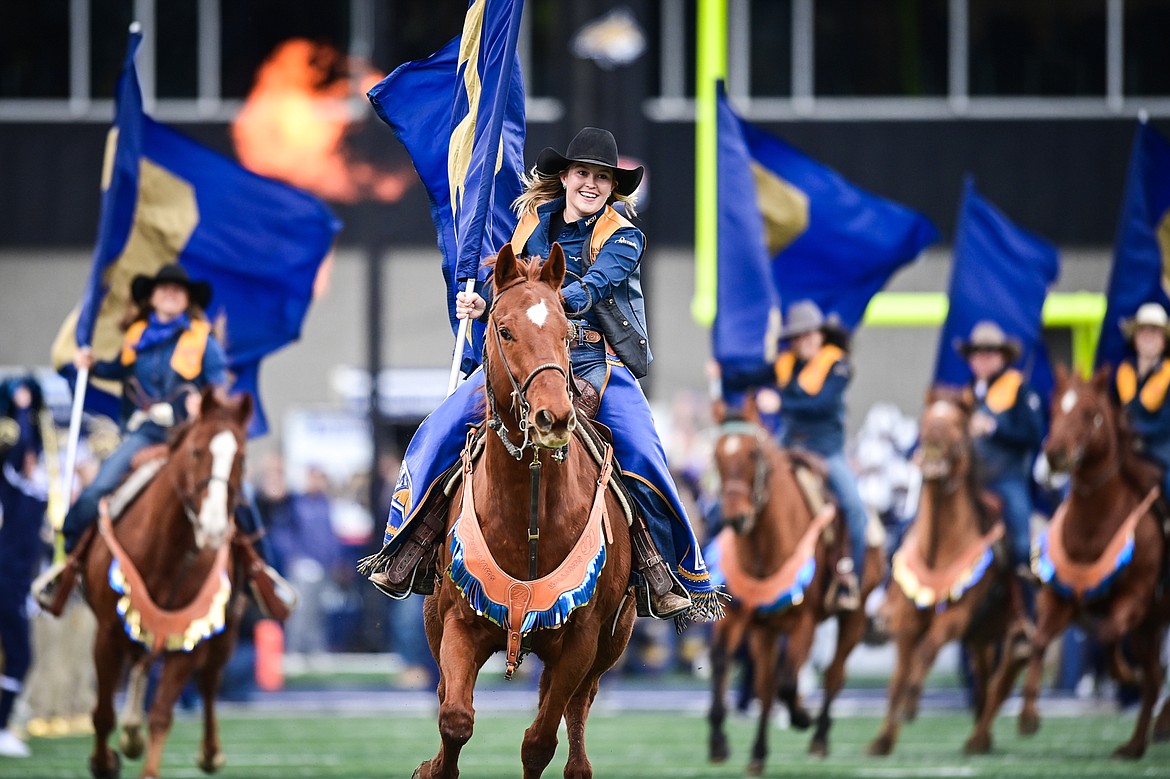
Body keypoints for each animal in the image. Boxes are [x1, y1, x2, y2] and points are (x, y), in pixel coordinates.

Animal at [82, 388, 251, 776]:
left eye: (242, 458)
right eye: (196, 451)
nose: (214, 528)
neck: (167, 552)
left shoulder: (188, 638)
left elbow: (161, 714)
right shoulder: (107, 633)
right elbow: (102, 713)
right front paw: (103, 762)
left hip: (226, 631)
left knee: (209, 682)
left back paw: (208, 752)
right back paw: (130, 734)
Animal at [416, 244, 636, 776]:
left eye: (566, 331)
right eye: (505, 329)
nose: (552, 417)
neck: (529, 515)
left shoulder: (581, 640)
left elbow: (538, 742)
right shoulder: (458, 622)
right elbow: (455, 718)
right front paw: (432, 767)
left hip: (609, 644)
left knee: (577, 708)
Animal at [697, 402, 879, 767]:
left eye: (753, 453)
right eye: (717, 454)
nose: (736, 518)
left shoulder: (804, 623)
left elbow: (788, 683)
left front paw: (801, 716)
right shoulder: (740, 616)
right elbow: (725, 661)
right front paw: (718, 741)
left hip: (854, 616)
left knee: (833, 674)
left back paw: (819, 736)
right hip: (766, 630)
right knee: (765, 686)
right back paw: (758, 754)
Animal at [870, 388, 1024, 753]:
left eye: (957, 422)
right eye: (927, 420)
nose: (934, 440)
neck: (937, 552)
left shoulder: (956, 617)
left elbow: (926, 652)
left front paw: (911, 704)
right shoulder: (907, 620)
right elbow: (899, 676)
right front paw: (883, 740)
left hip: (1005, 632)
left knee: (1002, 679)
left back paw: (981, 737)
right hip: (979, 639)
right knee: (983, 680)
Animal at [973, 364, 1170, 757]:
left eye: (1090, 413)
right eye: (1055, 410)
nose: (1054, 455)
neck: (1093, 529)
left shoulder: (1137, 597)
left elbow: (1108, 632)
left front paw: (1123, 673)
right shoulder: (1057, 597)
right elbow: (1037, 643)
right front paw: (1028, 716)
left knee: (1152, 672)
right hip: (1151, 624)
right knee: (1156, 676)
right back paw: (1135, 744)